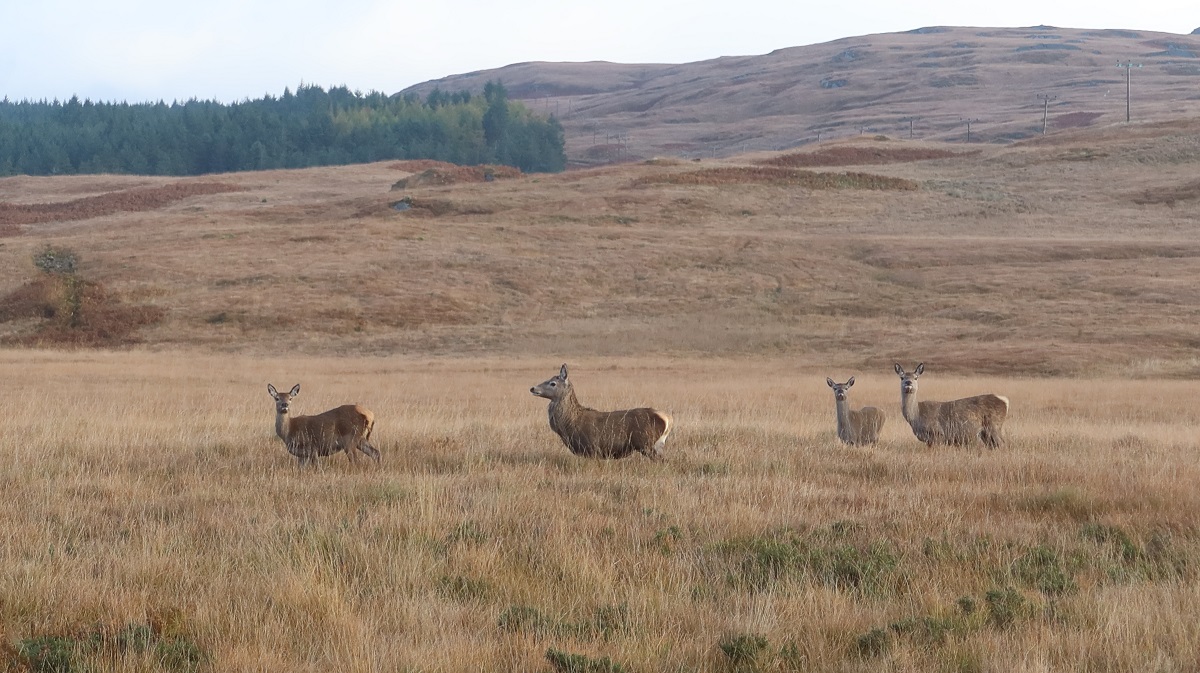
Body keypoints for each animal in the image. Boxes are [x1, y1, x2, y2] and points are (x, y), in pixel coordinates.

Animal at [529, 364, 673, 460]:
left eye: (553, 383)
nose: (533, 388)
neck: (569, 424)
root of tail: (667, 419)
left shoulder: (592, 447)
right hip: (657, 444)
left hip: (646, 443)